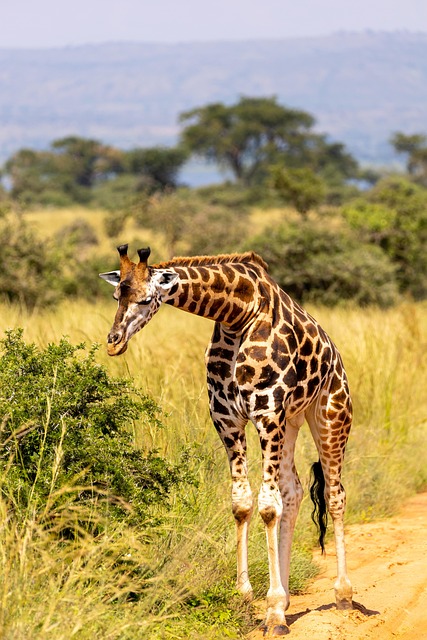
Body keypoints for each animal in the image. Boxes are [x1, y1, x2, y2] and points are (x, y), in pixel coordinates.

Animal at [100, 244, 353, 636]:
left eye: (144, 299)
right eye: (116, 296)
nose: (114, 343)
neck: (238, 313)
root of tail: (337, 360)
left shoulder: (266, 413)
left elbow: (267, 506)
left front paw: (274, 613)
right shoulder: (227, 419)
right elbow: (243, 503)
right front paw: (247, 600)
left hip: (330, 415)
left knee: (334, 494)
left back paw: (342, 595)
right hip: (292, 421)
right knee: (293, 491)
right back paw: (289, 596)